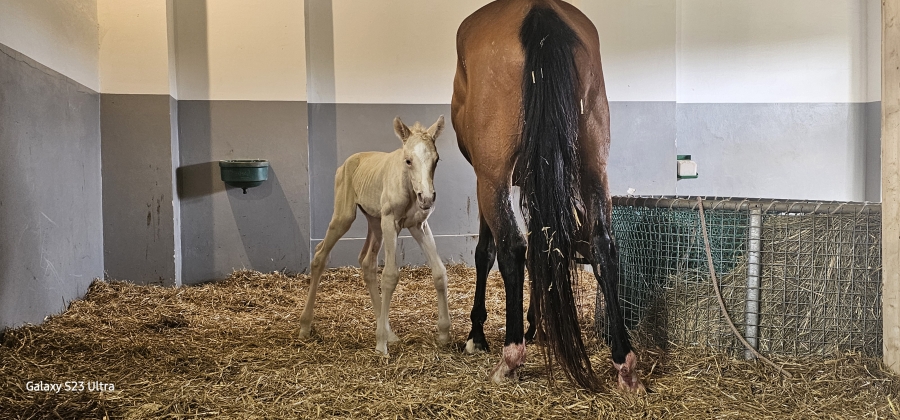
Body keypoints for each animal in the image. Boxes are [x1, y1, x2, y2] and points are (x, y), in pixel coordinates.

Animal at [299, 116, 450, 356]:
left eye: (436, 160)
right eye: (408, 160)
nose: (426, 198)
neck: (408, 186)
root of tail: (345, 164)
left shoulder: (419, 225)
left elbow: (439, 272)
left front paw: (444, 334)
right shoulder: (390, 222)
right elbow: (390, 276)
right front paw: (381, 345)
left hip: (374, 221)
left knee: (366, 261)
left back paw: (389, 331)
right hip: (345, 216)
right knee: (320, 254)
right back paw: (305, 326)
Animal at [451, 0, 644, 392]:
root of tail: (538, 11)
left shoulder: (486, 177)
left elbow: (487, 252)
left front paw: (478, 333)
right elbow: (544, 248)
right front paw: (536, 325)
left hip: (492, 177)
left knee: (511, 247)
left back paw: (510, 356)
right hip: (593, 166)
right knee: (603, 246)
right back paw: (624, 362)